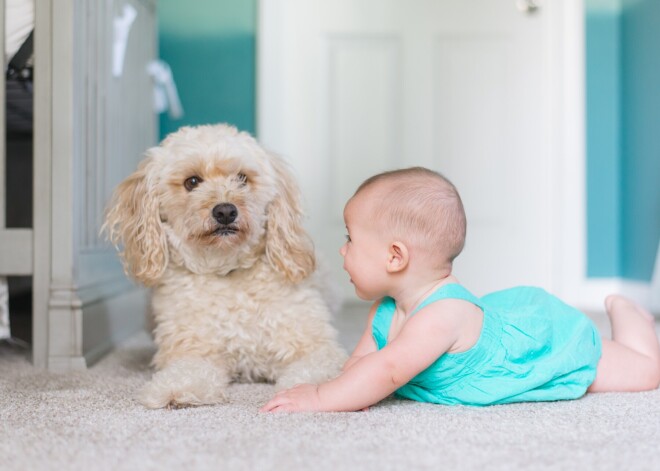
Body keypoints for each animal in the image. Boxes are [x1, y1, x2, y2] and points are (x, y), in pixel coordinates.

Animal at [103, 124, 346, 410]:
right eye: (192, 182)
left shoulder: (315, 347)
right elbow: (187, 371)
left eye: (242, 178)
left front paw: (306, 391)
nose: (226, 212)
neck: (227, 271)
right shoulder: (194, 350)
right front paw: (176, 389)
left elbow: (315, 369)